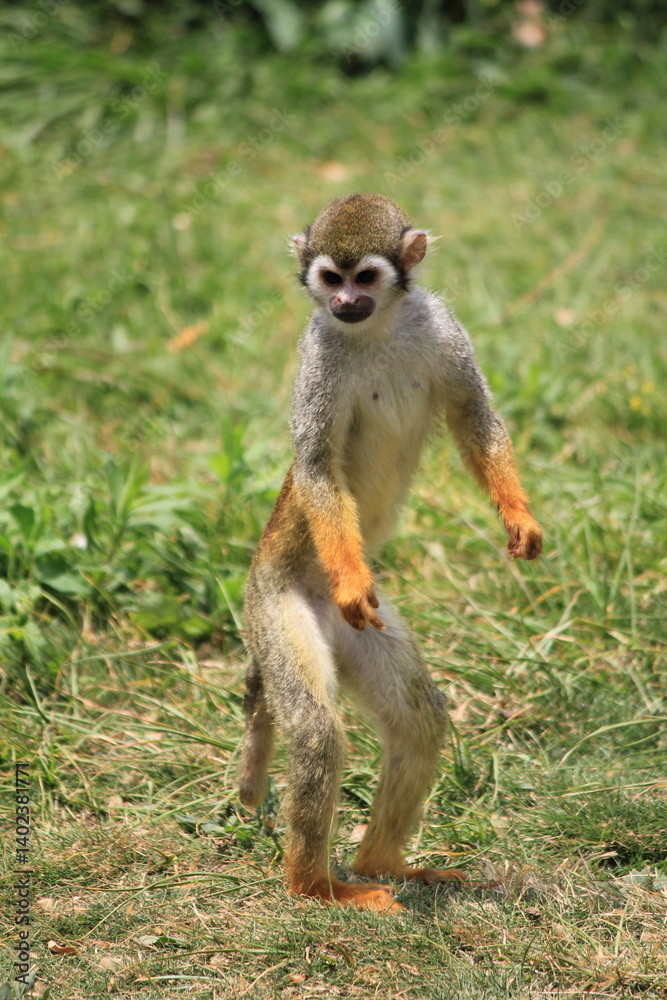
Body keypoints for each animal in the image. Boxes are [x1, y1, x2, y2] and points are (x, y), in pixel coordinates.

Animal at [239, 193, 542, 913]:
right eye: (330, 277)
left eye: (366, 278)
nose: (344, 302)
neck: (373, 332)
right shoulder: (317, 355)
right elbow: (317, 466)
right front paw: (351, 577)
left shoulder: (442, 328)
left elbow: (473, 417)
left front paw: (517, 515)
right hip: (274, 613)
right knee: (317, 733)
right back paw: (318, 887)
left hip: (357, 631)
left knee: (418, 720)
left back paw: (383, 863)